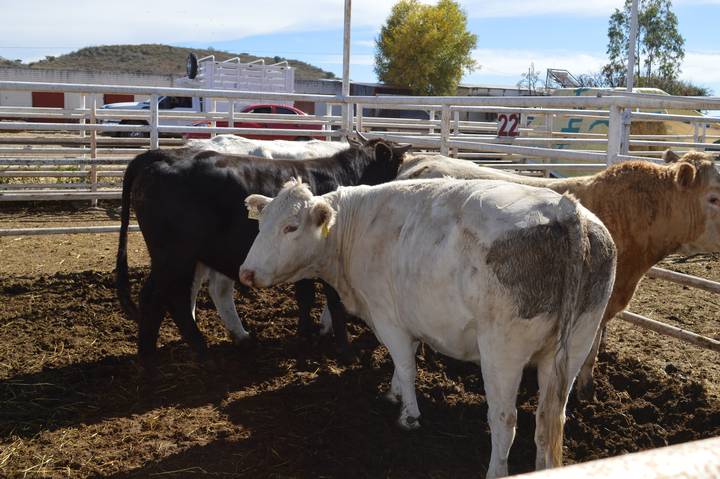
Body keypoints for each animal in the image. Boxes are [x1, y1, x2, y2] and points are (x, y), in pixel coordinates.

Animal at [116, 139, 410, 368]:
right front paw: (344, 350)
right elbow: (334, 303)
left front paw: (305, 335)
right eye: (397, 163)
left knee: (169, 297)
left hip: (178, 260)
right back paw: (175, 354)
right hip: (174, 257)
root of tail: (161, 155)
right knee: (162, 297)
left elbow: (305, 297)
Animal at [239, 178, 616, 478]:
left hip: (502, 351)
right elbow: (403, 360)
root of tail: (566, 210)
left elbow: (406, 365)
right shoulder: (409, 317)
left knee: (504, 419)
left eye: (290, 227)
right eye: (261, 224)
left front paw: (409, 414)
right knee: (549, 419)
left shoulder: (388, 317)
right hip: (574, 345)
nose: (246, 272)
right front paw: (394, 392)